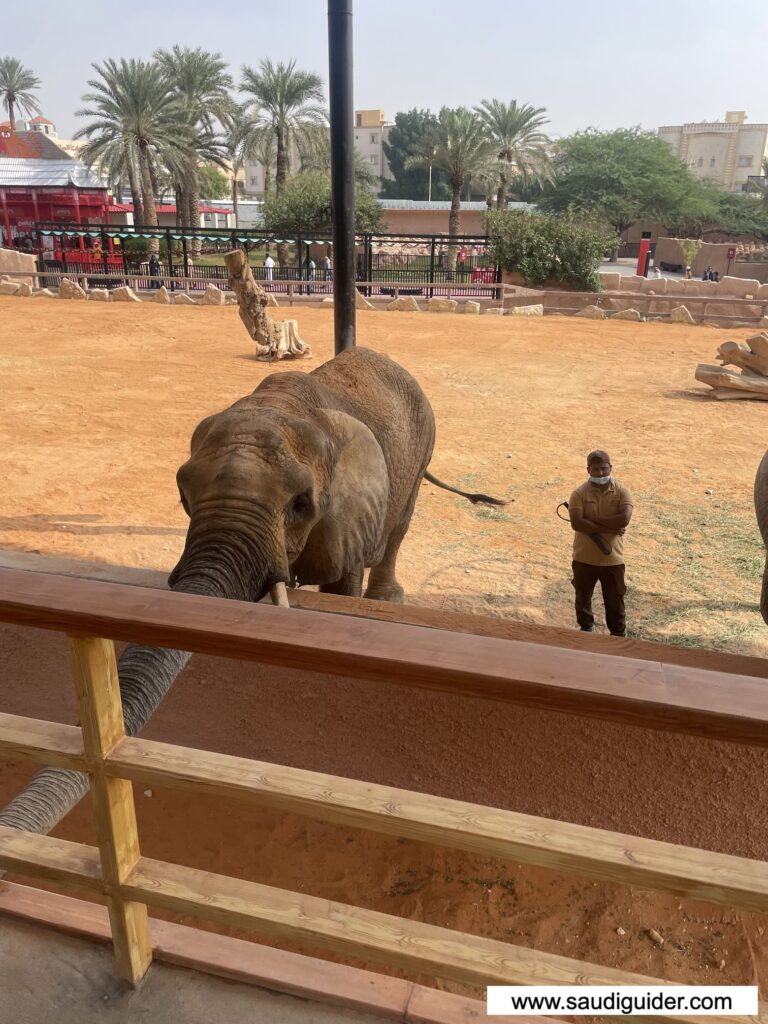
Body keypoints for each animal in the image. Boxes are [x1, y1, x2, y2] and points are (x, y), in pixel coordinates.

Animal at [0, 348, 507, 835]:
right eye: (183, 494)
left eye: (301, 504)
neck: (287, 405)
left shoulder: (349, 509)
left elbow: (342, 585)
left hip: (422, 444)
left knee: (399, 524)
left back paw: (386, 600)